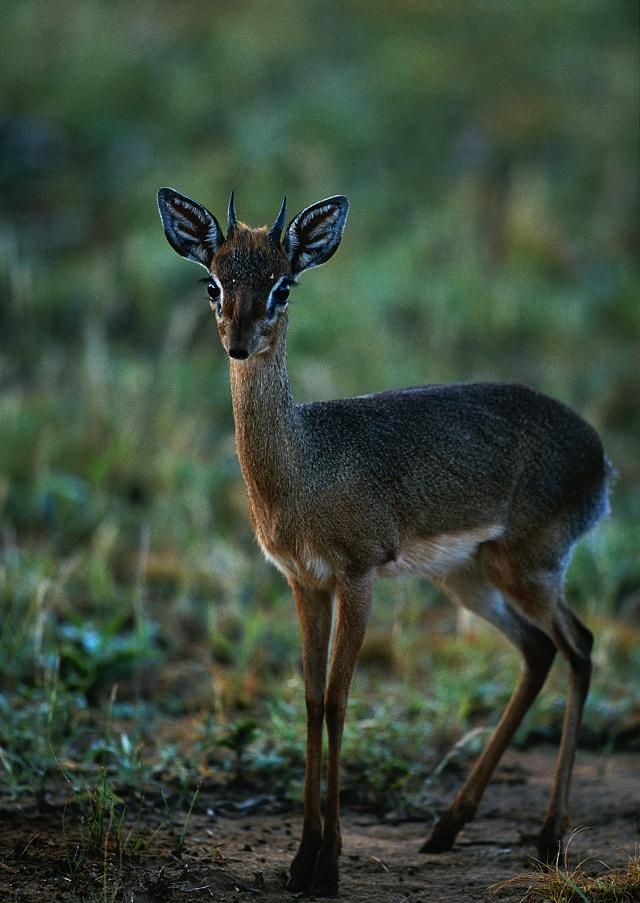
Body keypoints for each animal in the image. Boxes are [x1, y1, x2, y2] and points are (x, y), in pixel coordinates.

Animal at [159, 191, 608, 896]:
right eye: (214, 283)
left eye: (282, 286)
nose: (238, 344)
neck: (305, 468)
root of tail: (600, 455)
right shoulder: (303, 582)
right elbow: (311, 698)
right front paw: (300, 859)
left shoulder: (359, 575)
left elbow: (341, 701)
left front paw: (328, 865)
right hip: (468, 578)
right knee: (539, 651)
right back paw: (446, 827)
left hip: (531, 568)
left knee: (580, 645)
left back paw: (550, 836)